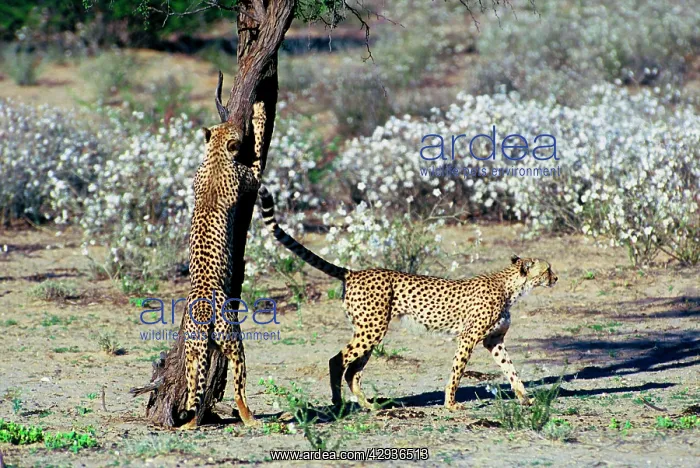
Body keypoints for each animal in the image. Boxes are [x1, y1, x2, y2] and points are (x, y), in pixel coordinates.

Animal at [180, 102, 267, 429]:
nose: (236, 123)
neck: (215, 154)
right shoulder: (251, 178)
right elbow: (259, 152)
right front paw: (259, 112)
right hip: (234, 340)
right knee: (239, 388)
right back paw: (250, 418)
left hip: (193, 352)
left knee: (195, 389)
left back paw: (190, 423)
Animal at [258, 185, 558, 411]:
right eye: (548, 269)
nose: (556, 278)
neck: (509, 287)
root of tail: (353, 271)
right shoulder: (468, 338)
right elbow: (457, 371)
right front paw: (450, 403)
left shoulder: (493, 340)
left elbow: (511, 369)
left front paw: (525, 397)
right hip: (372, 328)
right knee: (337, 361)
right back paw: (338, 403)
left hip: (370, 330)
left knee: (353, 370)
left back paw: (367, 405)